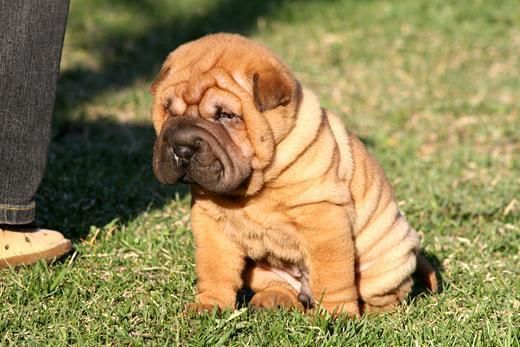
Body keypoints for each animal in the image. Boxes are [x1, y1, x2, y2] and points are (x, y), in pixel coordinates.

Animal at [151, 33, 438, 318]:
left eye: (225, 115)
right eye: (169, 110)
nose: (182, 148)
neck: (255, 185)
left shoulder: (324, 218)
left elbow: (333, 274)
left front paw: (337, 315)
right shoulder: (210, 223)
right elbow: (214, 268)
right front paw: (209, 306)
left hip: (387, 263)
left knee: (386, 297)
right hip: (261, 270)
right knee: (279, 286)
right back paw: (273, 300)